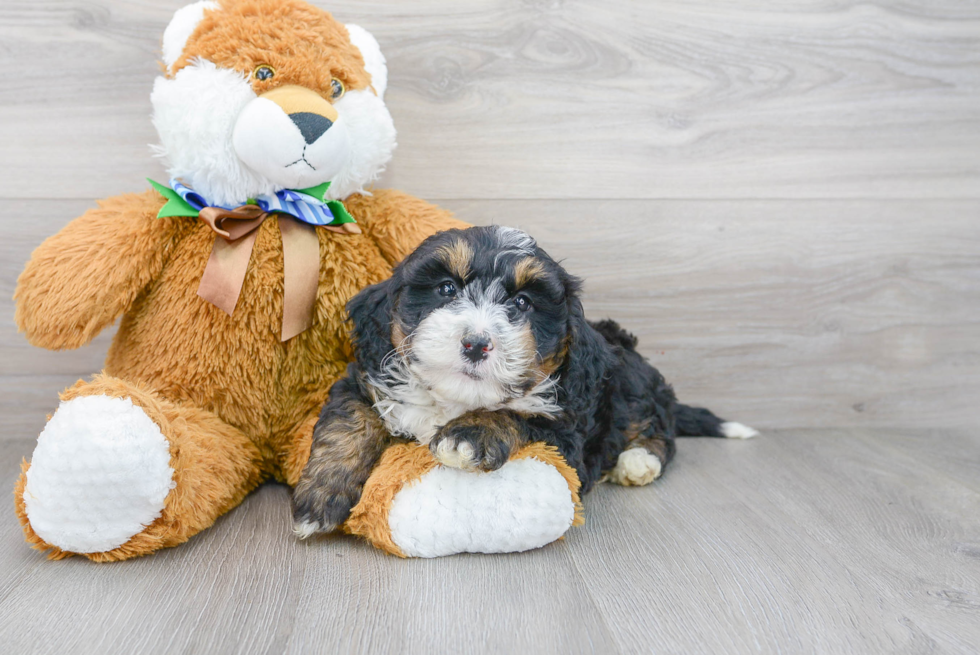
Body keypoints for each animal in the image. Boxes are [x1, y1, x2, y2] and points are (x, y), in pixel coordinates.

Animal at [292, 226, 756, 540]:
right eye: (446, 288)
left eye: (522, 302)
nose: (476, 343)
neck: (455, 400)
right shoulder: (363, 380)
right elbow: (347, 424)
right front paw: (319, 498)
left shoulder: (567, 435)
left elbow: (516, 415)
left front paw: (470, 434)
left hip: (633, 388)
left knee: (660, 429)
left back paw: (638, 461)